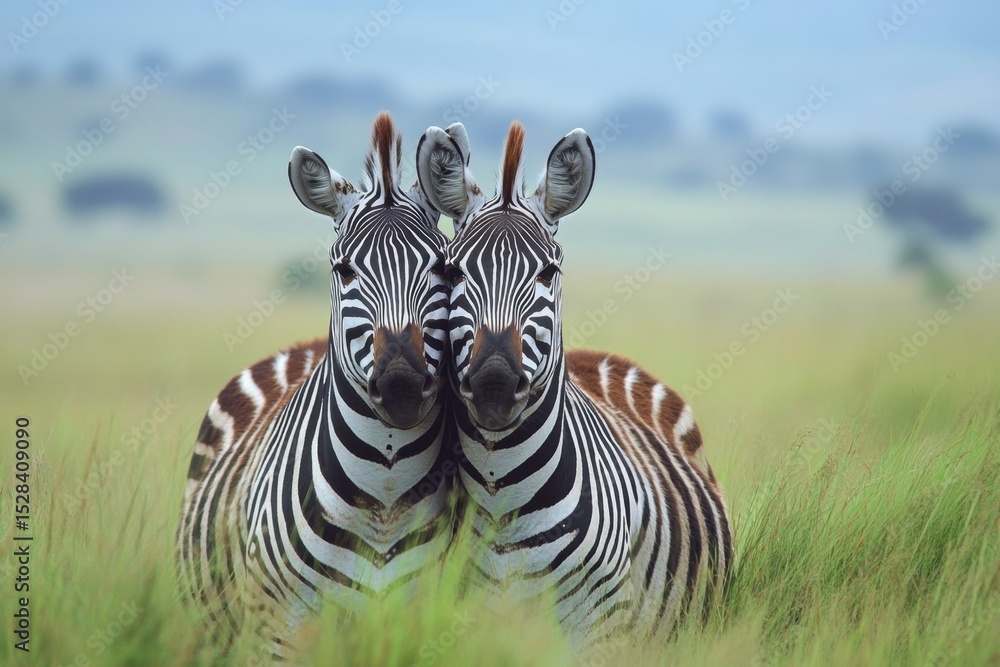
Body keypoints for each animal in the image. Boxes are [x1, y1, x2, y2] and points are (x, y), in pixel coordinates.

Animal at [176, 112, 461, 657]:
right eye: (343, 269)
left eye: (442, 266)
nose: (402, 384)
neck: (386, 490)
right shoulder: (280, 632)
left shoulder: (419, 624)